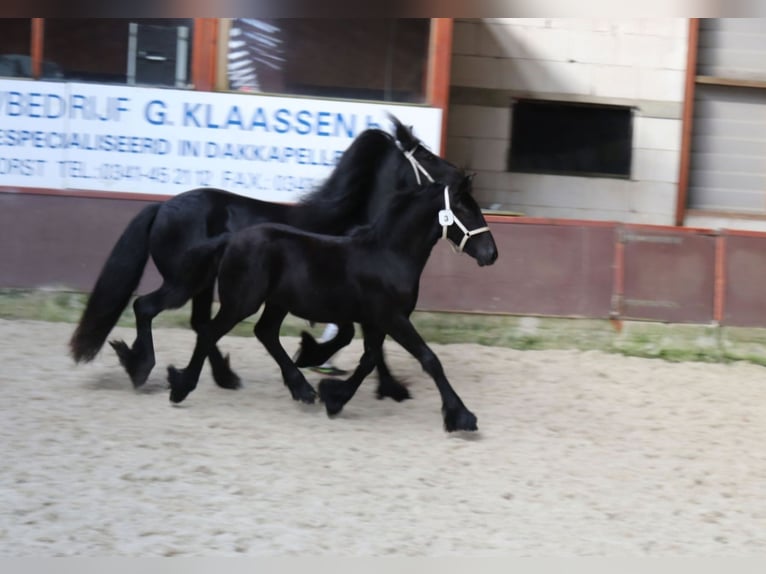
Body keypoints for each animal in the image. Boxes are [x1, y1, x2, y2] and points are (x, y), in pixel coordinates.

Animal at [69, 115, 462, 402]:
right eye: (426, 156)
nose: (462, 177)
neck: (359, 227)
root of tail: (162, 207)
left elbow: (368, 344)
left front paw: (385, 386)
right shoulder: (353, 301)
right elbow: (354, 338)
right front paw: (317, 359)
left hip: (204, 285)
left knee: (201, 324)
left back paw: (222, 377)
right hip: (186, 282)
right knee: (149, 308)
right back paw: (142, 367)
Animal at [170, 178, 498, 434]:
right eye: (465, 209)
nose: (491, 254)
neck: (389, 255)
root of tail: (230, 238)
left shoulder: (377, 321)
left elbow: (369, 360)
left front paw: (334, 397)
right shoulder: (392, 318)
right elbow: (429, 359)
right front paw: (462, 417)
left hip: (276, 303)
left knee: (265, 333)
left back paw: (302, 390)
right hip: (241, 302)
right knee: (209, 332)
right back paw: (182, 387)